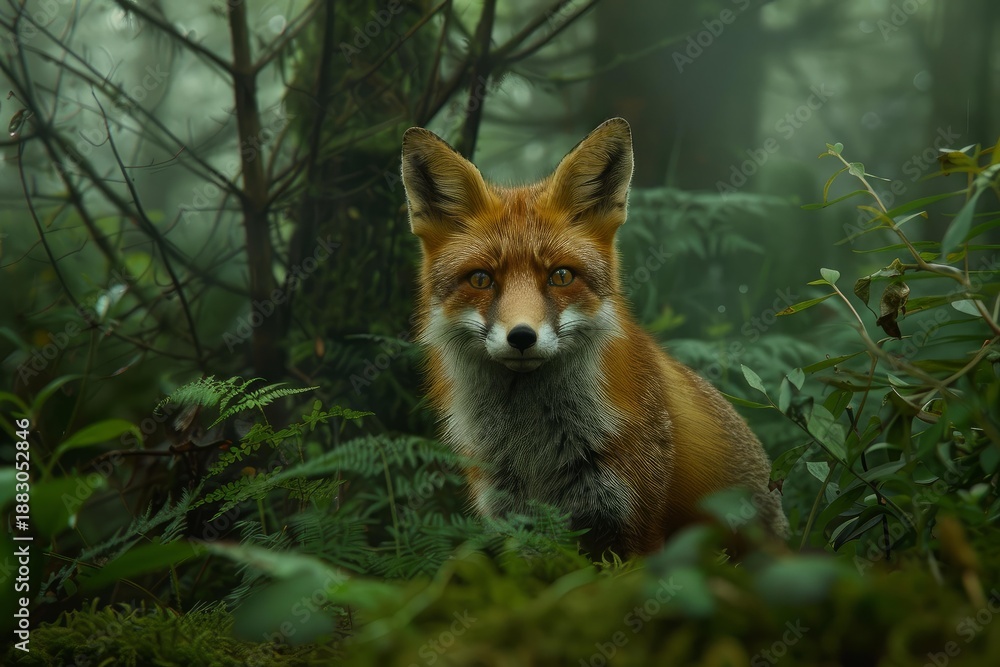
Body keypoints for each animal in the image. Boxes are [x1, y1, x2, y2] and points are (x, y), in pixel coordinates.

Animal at [400, 118, 789, 557]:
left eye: (561, 276)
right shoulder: (516, 522)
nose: (522, 337)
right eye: (481, 279)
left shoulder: (631, 519)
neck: (531, 449)